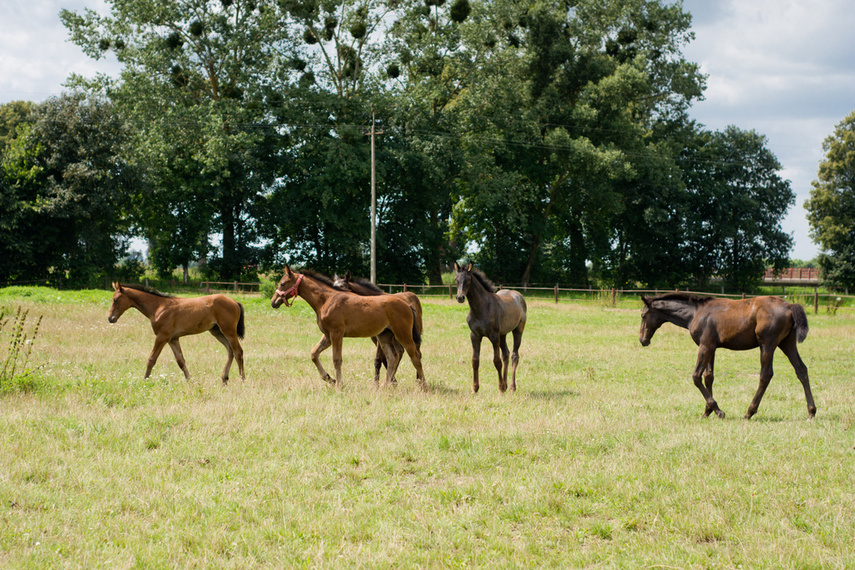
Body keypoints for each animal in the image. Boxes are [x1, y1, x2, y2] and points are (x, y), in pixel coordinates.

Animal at [108, 282, 244, 384]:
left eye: (116, 300)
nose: (110, 318)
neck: (158, 307)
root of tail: (235, 302)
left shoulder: (162, 336)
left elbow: (151, 359)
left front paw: (145, 381)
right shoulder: (173, 339)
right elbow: (180, 361)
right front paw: (190, 381)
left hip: (229, 331)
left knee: (238, 351)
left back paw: (242, 380)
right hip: (216, 332)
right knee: (230, 350)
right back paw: (224, 378)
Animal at [272, 264, 426, 388]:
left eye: (282, 284)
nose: (274, 302)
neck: (326, 300)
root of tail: (407, 304)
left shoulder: (336, 334)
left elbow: (337, 359)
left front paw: (339, 384)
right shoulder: (327, 335)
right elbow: (314, 354)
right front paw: (329, 379)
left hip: (403, 335)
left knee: (415, 357)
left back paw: (423, 386)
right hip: (384, 336)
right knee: (392, 357)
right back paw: (384, 386)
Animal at [454, 260, 528, 390]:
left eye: (468, 279)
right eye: (456, 279)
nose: (460, 297)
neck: (482, 308)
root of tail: (518, 295)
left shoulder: (494, 337)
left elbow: (496, 361)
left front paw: (501, 388)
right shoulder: (475, 336)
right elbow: (475, 360)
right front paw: (475, 389)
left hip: (518, 330)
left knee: (514, 356)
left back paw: (512, 387)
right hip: (502, 334)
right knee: (506, 354)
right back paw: (506, 384)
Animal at [640, 292, 816, 418]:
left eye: (643, 316)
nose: (643, 340)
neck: (696, 313)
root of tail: (789, 305)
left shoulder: (705, 346)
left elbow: (696, 376)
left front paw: (718, 411)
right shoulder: (711, 347)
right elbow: (708, 377)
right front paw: (707, 411)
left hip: (768, 345)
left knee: (766, 375)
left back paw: (749, 412)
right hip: (787, 343)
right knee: (801, 370)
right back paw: (811, 412)